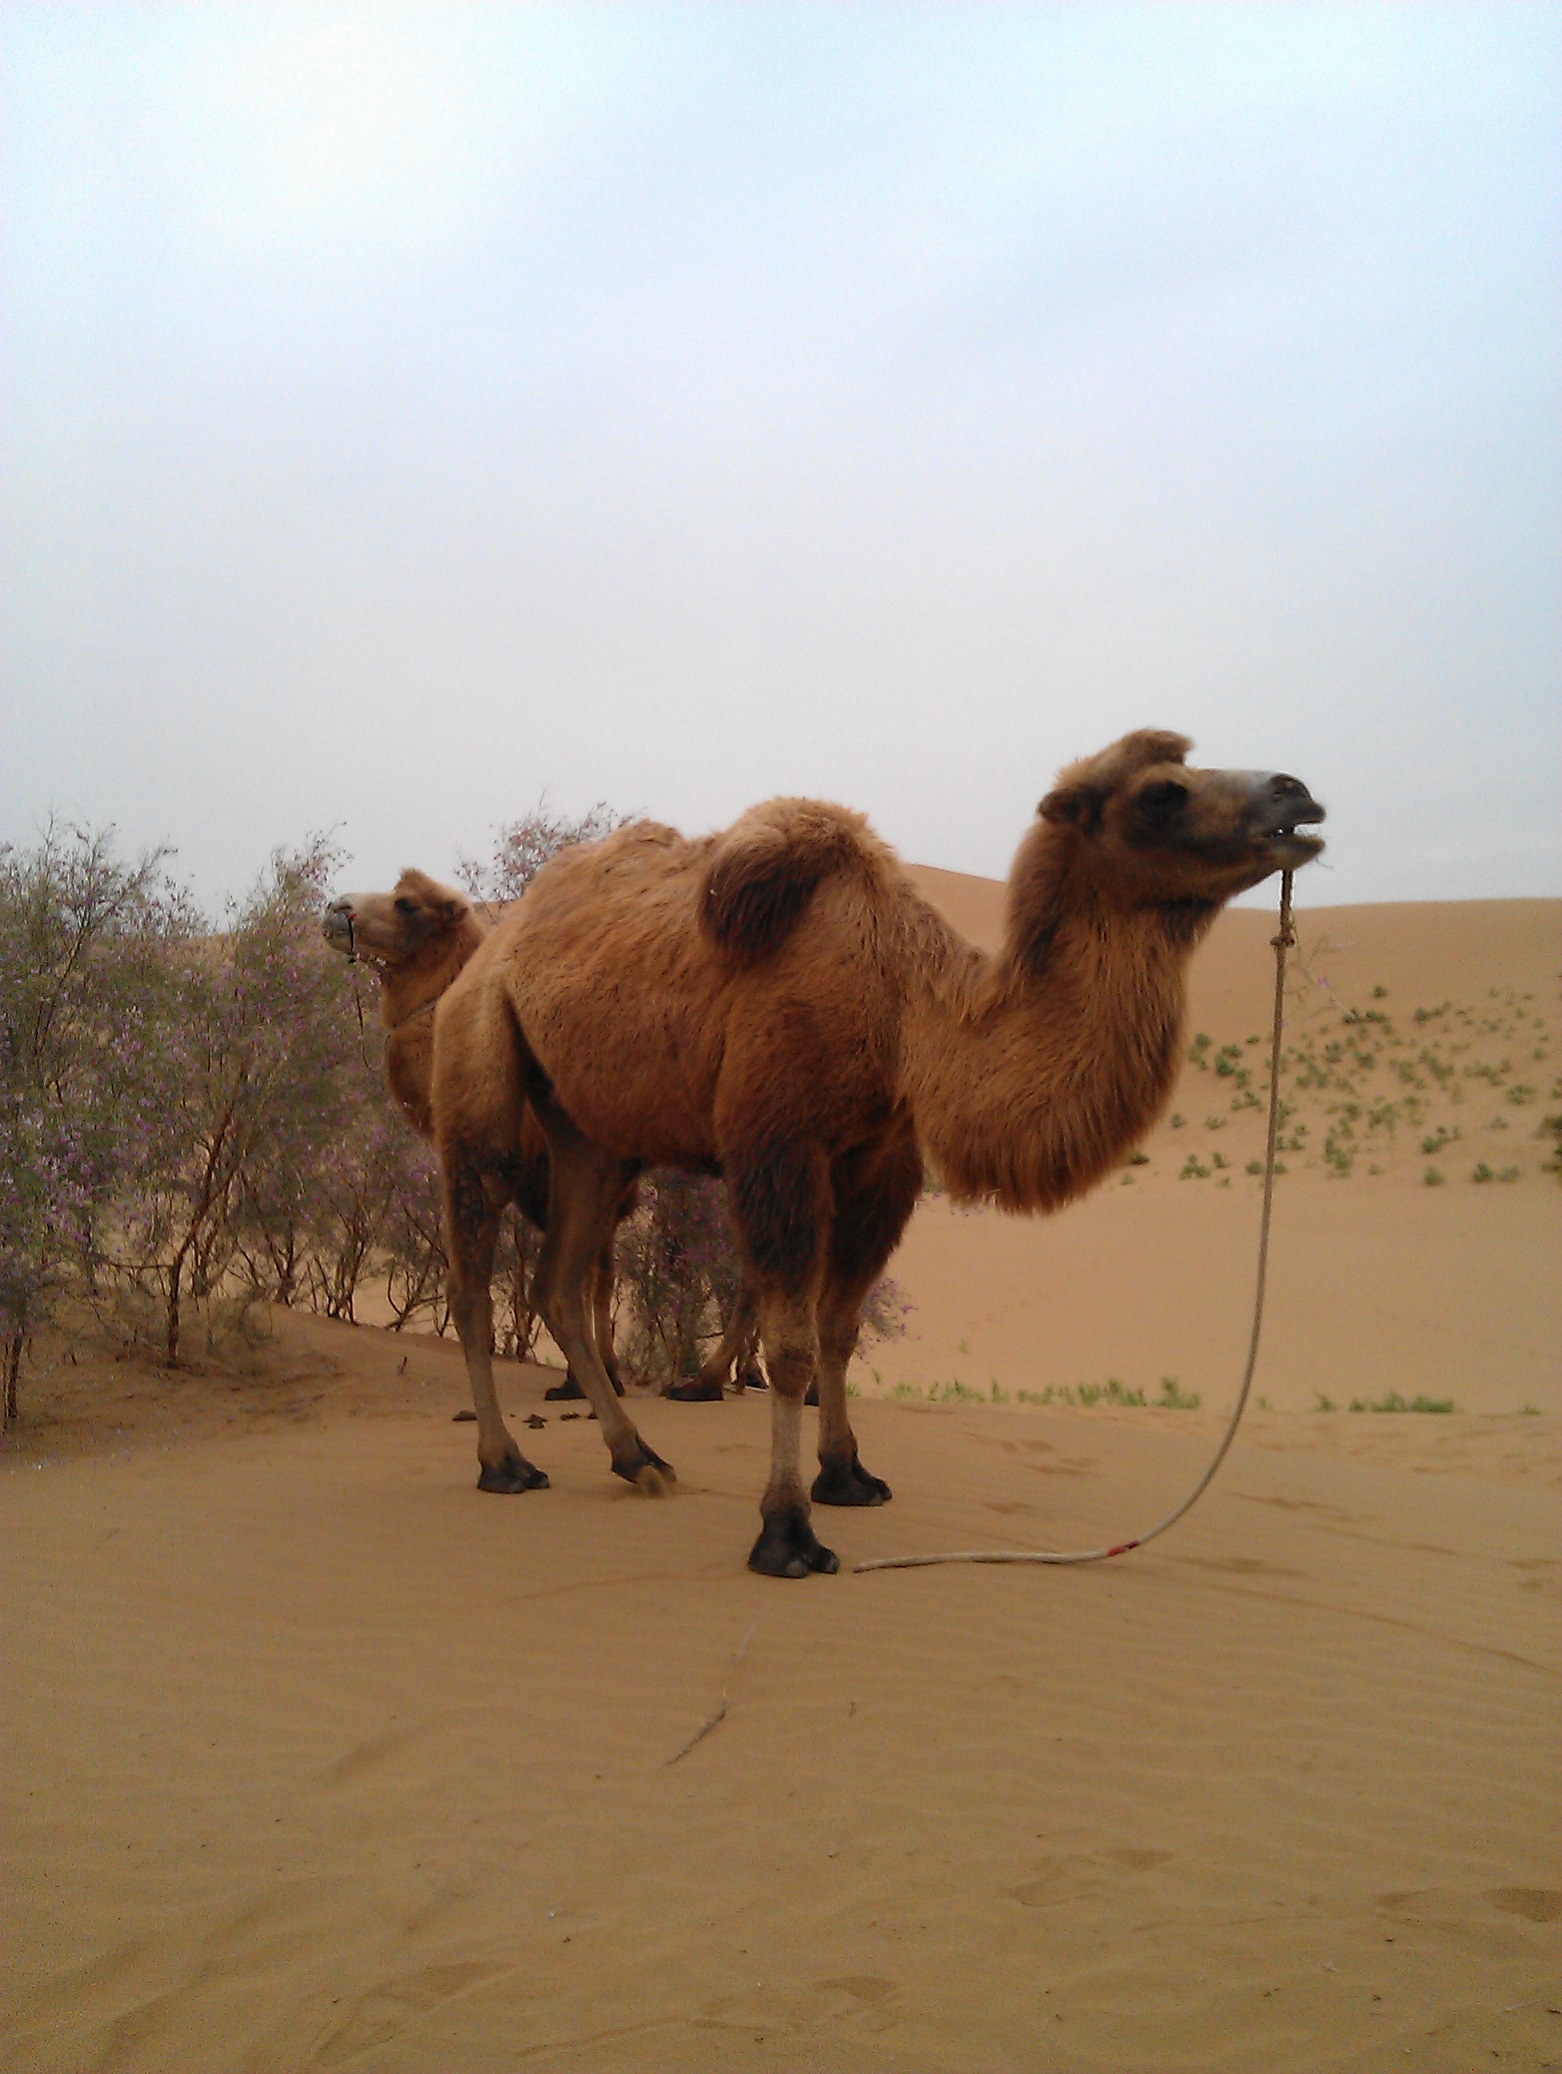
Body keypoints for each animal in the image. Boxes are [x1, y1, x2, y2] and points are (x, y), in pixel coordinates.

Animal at [433, 734, 1319, 1567]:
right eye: (1162, 795)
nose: (1299, 794)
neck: (905, 1011)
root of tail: (496, 942)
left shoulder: (882, 1161)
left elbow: (840, 1328)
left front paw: (847, 1475)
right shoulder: (779, 1142)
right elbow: (791, 1345)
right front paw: (786, 1530)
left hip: (592, 1134)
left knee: (556, 1281)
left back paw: (638, 1458)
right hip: (480, 1059)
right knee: (473, 1269)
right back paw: (504, 1462)